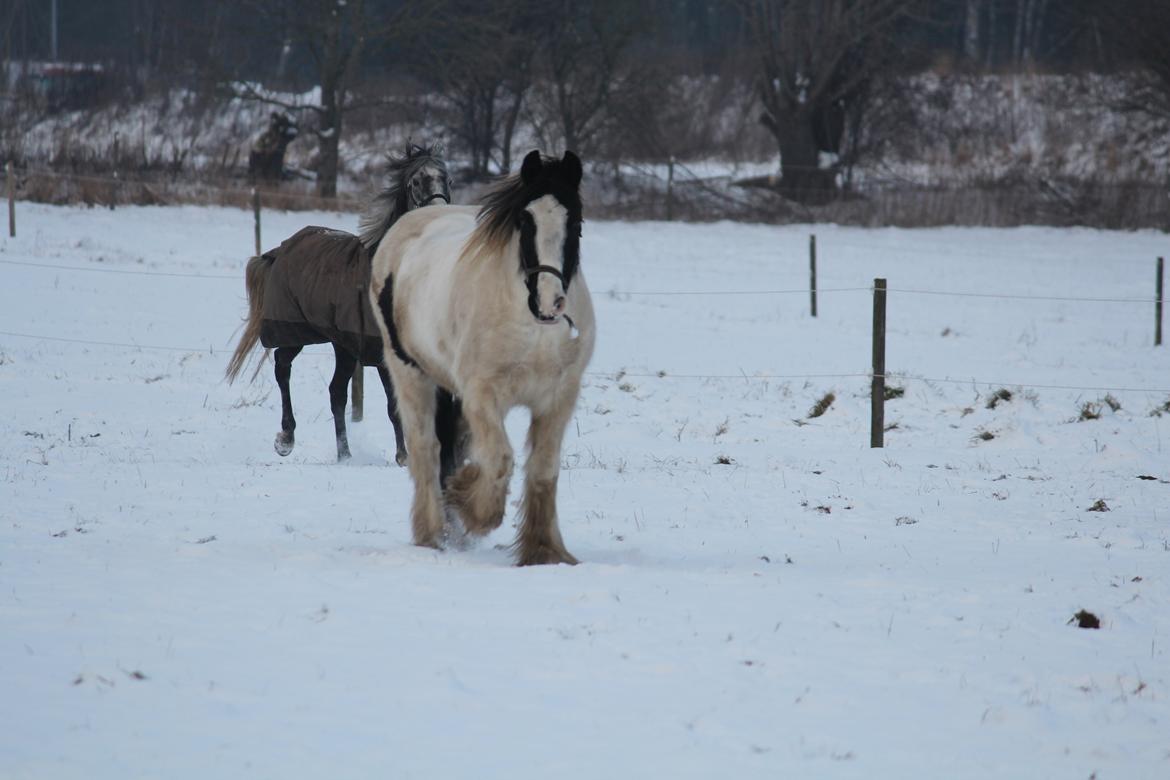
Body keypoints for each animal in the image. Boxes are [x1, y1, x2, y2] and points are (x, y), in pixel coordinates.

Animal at [225, 142, 449, 463]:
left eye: (447, 178)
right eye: (416, 181)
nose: (438, 216)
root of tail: (280, 250)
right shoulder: (383, 352)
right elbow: (395, 406)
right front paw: (403, 457)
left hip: (341, 344)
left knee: (336, 393)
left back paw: (345, 453)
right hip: (296, 331)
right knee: (282, 367)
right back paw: (286, 439)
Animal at [369, 149, 599, 563]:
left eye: (576, 222)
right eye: (524, 220)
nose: (550, 302)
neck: (531, 327)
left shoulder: (559, 398)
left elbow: (543, 468)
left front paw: (545, 550)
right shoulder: (482, 396)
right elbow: (500, 458)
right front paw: (472, 507)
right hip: (410, 374)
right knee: (426, 448)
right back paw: (431, 533)